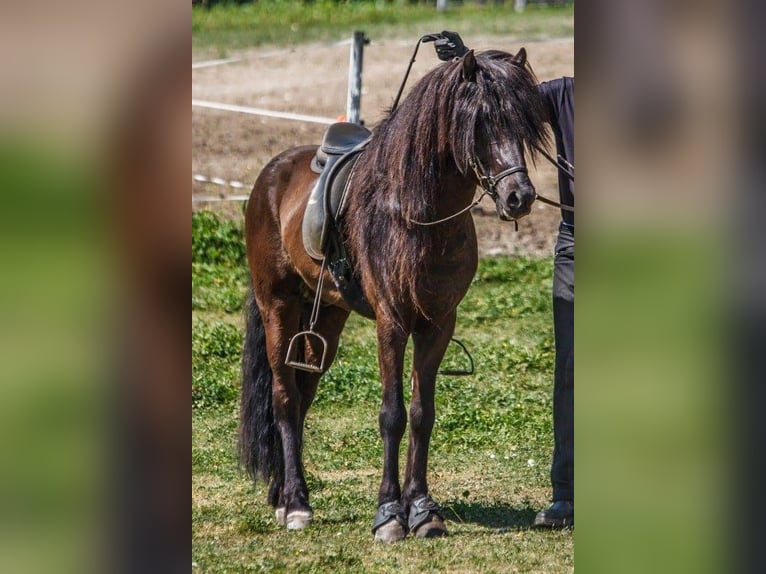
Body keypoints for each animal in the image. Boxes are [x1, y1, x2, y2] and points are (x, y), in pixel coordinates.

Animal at [242, 49, 552, 544]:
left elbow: (423, 414)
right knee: (284, 399)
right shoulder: (392, 322)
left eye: (523, 124)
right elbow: (392, 414)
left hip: (326, 317)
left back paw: (281, 493)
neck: (417, 214)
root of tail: (272, 172)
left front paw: (423, 510)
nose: (518, 197)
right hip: (278, 308)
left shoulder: (437, 324)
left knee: (303, 395)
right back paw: (296, 504)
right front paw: (388, 514)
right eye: (479, 123)